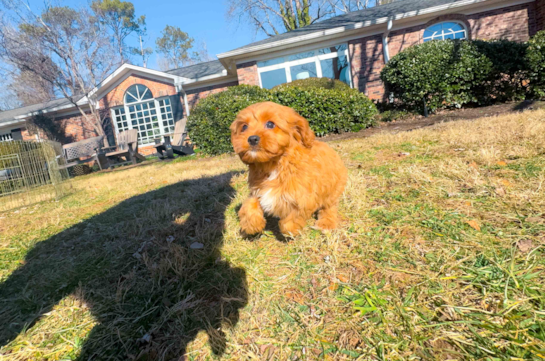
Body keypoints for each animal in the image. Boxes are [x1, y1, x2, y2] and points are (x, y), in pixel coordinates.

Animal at [231, 102, 348, 236]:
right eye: (244, 127)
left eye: (270, 124)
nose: (252, 138)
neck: (274, 165)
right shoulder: (258, 189)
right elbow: (250, 203)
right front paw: (251, 225)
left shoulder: (303, 196)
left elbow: (293, 216)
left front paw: (291, 231)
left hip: (334, 187)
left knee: (329, 206)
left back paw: (326, 223)